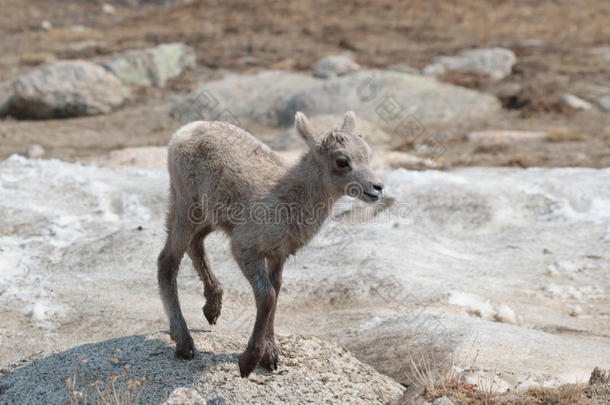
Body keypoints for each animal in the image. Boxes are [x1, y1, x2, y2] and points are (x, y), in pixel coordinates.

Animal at [157, 109, 380, 376]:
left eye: (368, 154)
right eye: (342, 161)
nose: (377, 188)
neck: (285, 199)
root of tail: (184, 131)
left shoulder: (278, 254)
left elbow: (276, 292)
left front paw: (270, 354)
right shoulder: (245, 248)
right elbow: (267, 297)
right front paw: (248, 362)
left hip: (208, 215)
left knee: (195, 245)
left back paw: (212, 309)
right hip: (185, 205)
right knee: (167, 261)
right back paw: (184, 343)